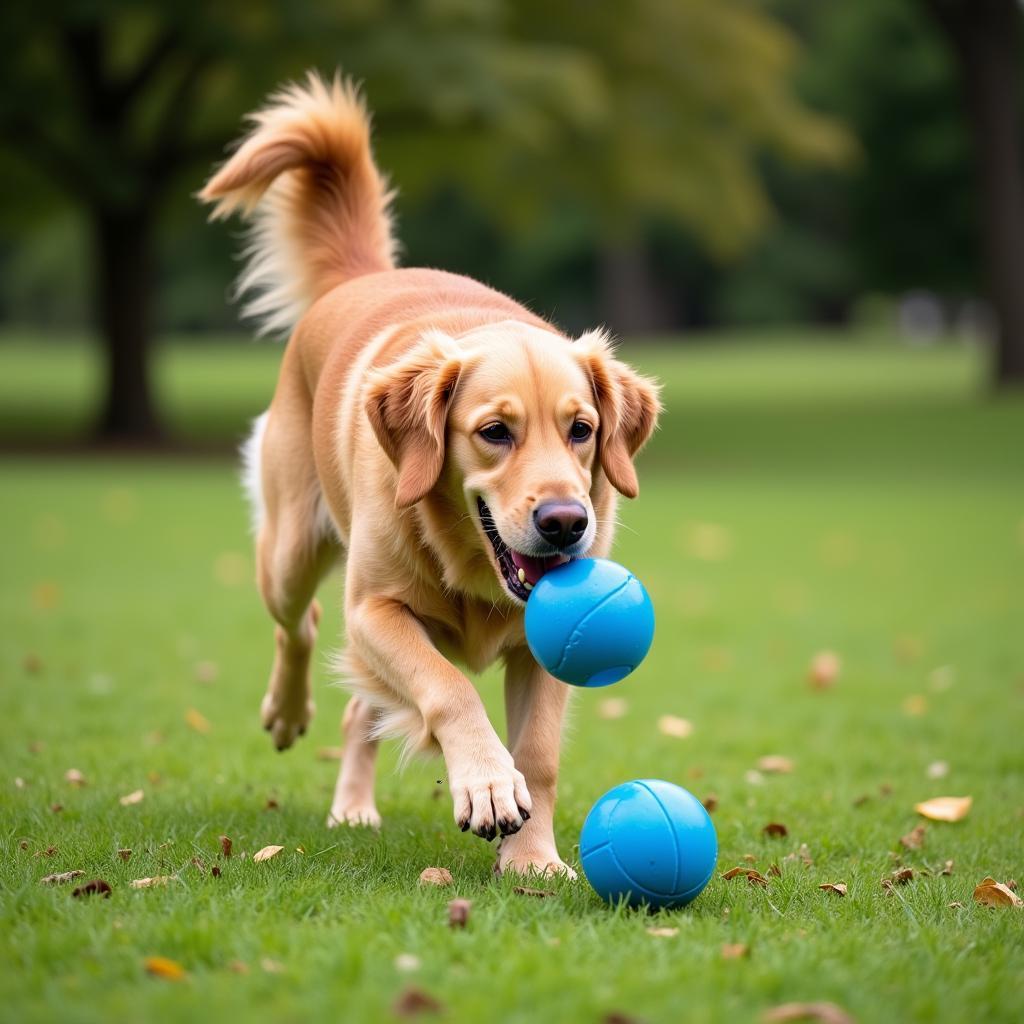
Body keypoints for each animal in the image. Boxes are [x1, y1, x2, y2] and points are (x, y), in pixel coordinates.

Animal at [199, 72, 659, 876]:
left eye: (582, 430)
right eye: (495, 433)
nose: (566, 524)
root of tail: (362, 277)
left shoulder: (545, 648)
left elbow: (538, 753)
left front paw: (532, 857)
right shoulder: (375, 610)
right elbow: (448, 691)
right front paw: (486, 783)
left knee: (360, 705)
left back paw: (354, 804)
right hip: (291, 552)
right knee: (300, 624)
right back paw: (291, 720)